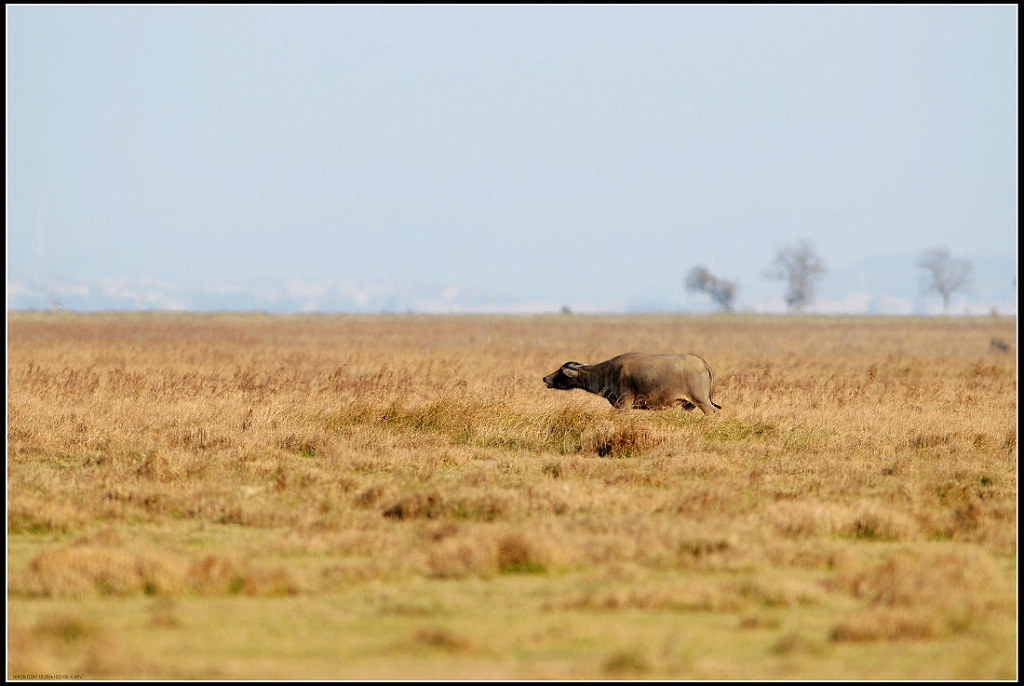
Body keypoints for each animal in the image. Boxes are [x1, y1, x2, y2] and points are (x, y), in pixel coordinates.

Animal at [544, 354, 720, 413]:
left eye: (561, 371)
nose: (545, 378)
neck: (606, 373)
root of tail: (703, 364)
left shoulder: (624, 404)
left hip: (702, 401)